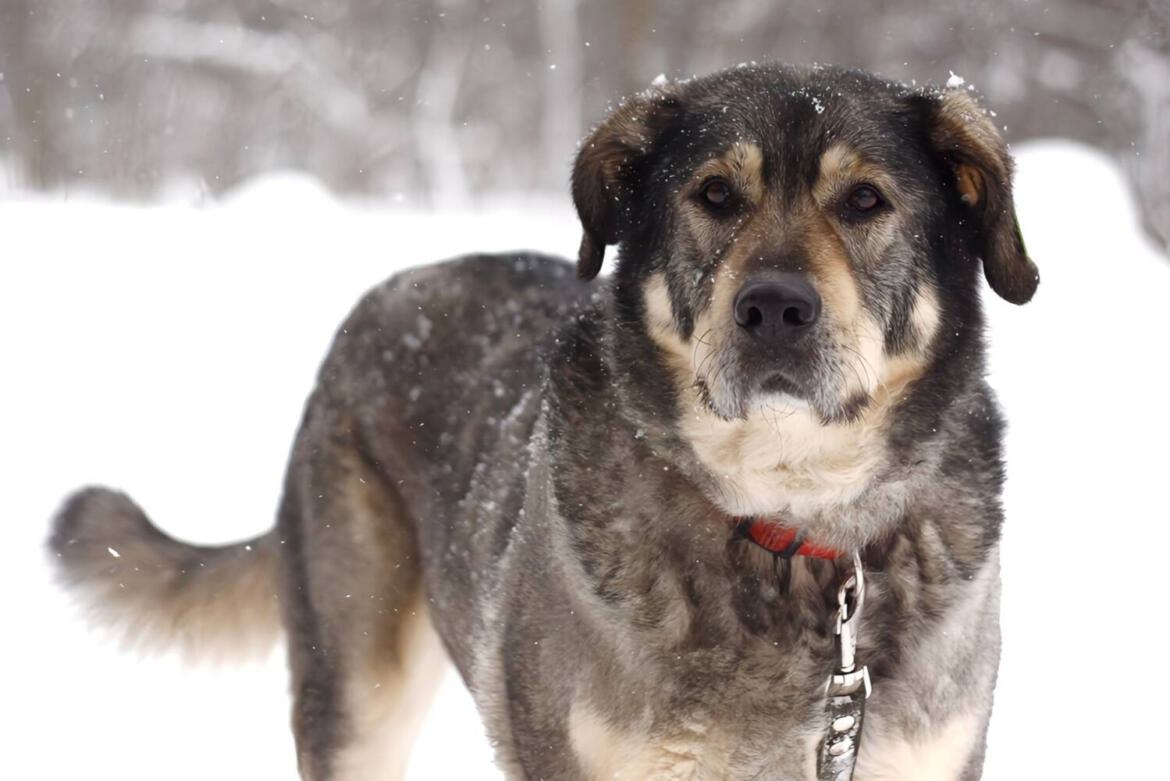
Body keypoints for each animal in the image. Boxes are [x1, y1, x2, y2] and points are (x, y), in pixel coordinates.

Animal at [50, 64, 1034, 776]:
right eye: (716, 195)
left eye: (866, 201)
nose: (775, 309)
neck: (789, 521)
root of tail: (391, 293)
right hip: (355, 688)